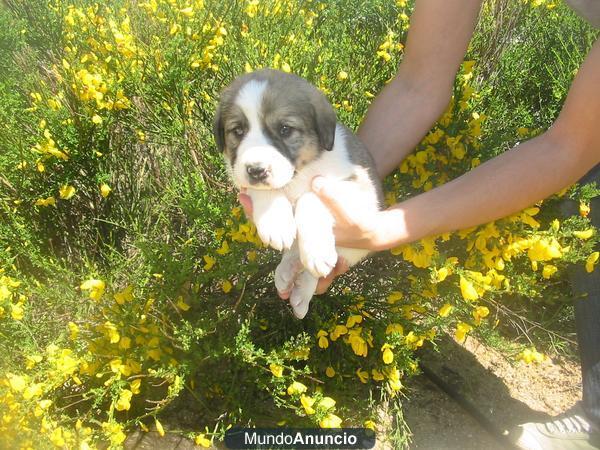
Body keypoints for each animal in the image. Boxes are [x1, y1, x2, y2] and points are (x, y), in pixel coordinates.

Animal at [214, 68, 384, 318]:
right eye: (238, 131)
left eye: (285, 129)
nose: (256, 170)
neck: (298, 176)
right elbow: (262, 190)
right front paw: (275, 222)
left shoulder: (363, 192)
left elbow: (310, 196)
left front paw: (316, 251)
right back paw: (287, 271)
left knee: (310, 267)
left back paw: (303, 284)